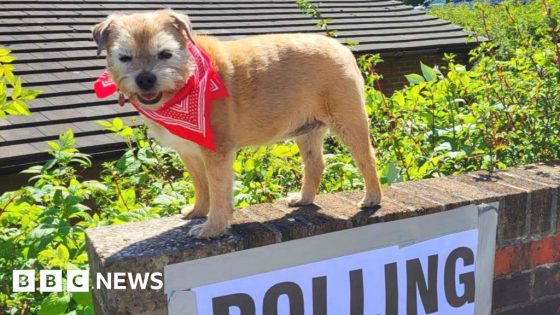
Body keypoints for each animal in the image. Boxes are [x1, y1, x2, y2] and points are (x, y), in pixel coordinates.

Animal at [94, 9, 382, 239]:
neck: (187, 79)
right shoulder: (189, 152)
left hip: (349, 122)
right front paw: (198, 210)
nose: (145, 79)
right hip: (307, 131)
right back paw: (304, 199)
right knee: (315, 164)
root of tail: (341, 47)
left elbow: (219, 193)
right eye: (124, 57)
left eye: (165, 54)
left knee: (367, 160)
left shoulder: (217, 153)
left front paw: (213, 228)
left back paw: (372, 198)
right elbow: (201, 186)